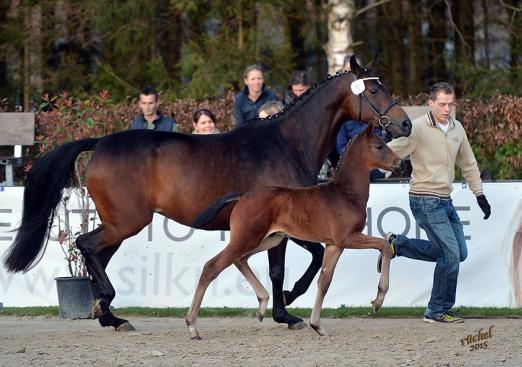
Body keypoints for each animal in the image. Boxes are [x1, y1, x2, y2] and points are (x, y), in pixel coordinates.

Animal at [189, 123, 400, 340]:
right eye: (380, 146)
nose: (399, 164)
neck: (345, 194)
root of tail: (243, 196)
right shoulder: (347, 238)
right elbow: (384, 245)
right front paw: (378, 301)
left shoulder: (334, 245)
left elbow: (324, 281)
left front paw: (317, 326)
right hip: (247, 238)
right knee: (212, 266)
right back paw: (192, 327)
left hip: (270, 239)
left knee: (240, 259)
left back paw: (262, 304)